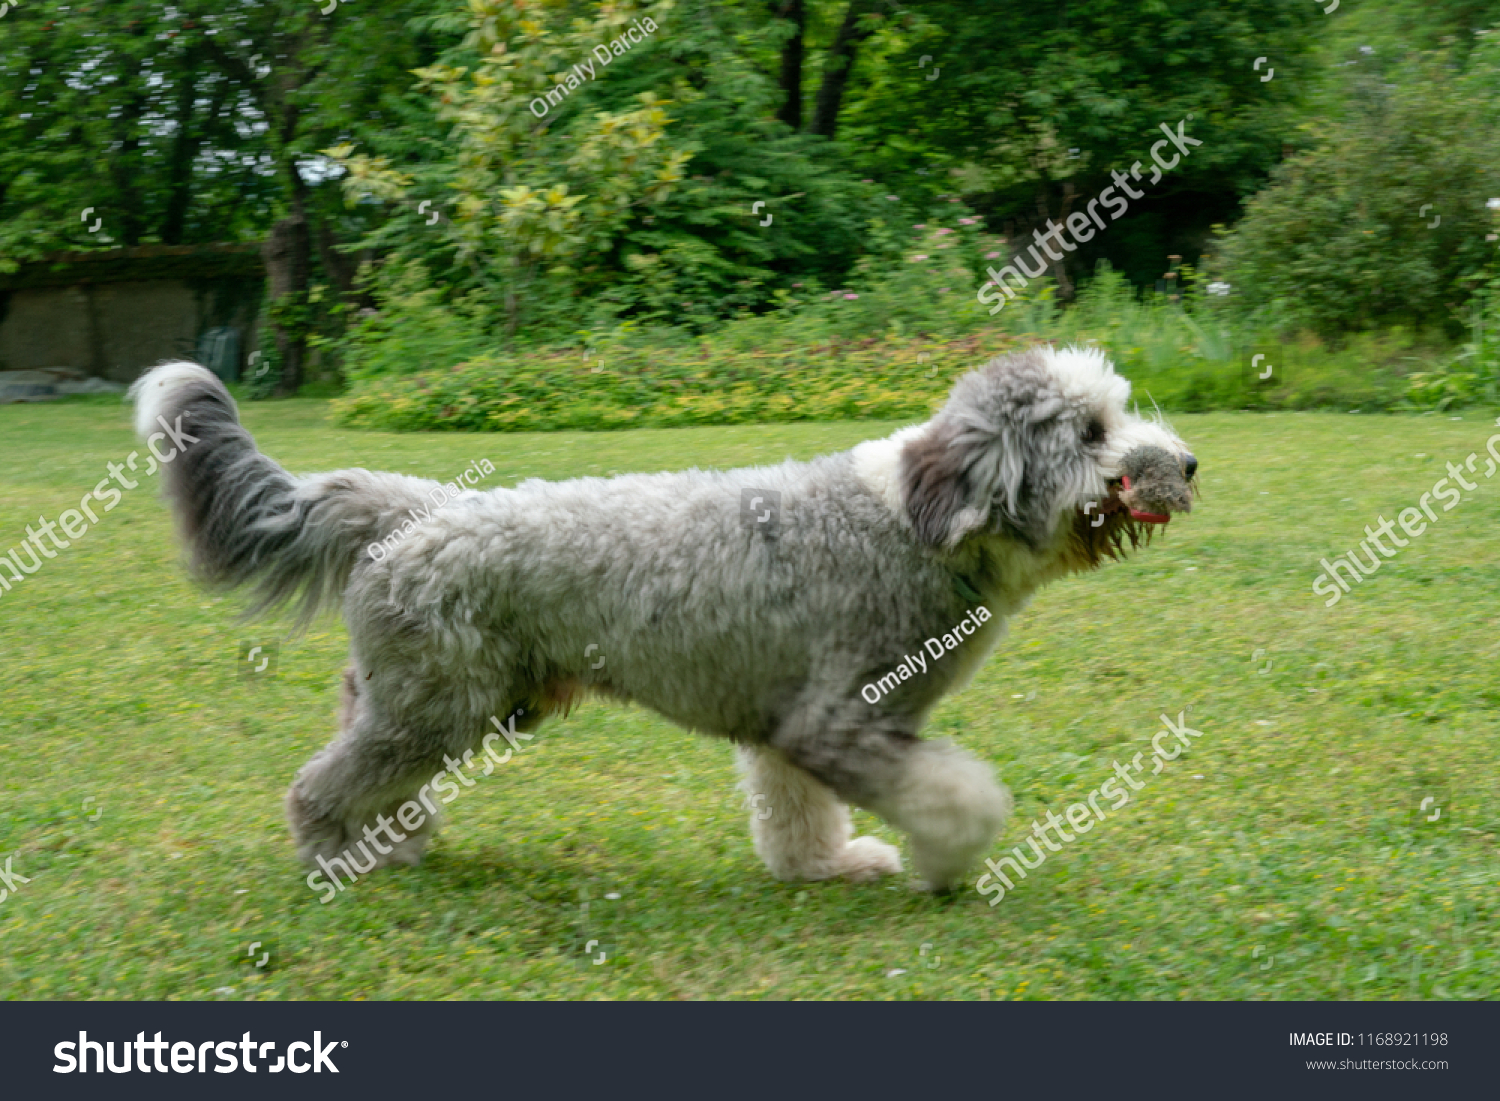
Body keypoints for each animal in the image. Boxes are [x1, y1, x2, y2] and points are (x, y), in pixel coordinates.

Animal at [135, 345, 1200, 900]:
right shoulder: (839, 720)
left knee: (367, 760)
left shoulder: (787, 728)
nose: (1188, 463)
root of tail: (417, 506)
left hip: (434, 697)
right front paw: (949, 860)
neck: (910, 520)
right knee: (321, 782)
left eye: (1118, 410)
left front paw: (824, 864)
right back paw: (329, 852)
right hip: (437, 706)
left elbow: (796, 811)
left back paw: (386, 842)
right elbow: (959, 796)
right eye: (1092, 432)